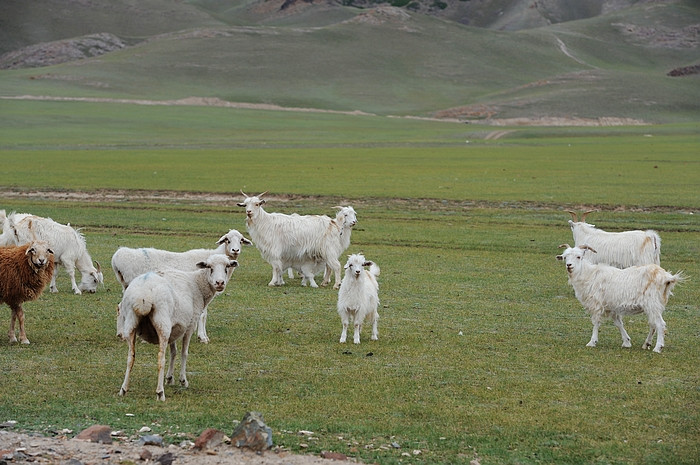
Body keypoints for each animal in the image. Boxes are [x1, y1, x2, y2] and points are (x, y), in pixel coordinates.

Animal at [109, 227, 252, 340]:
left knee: (120, 306)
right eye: (227, 240)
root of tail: (118, 257)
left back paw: (121, 333)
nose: (235, 250)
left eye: (241, 240)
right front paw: (202, 337)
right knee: (123, 307)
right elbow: (203, 314)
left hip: (127, 286)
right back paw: (124, 333)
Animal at [116, 252, 239, 400]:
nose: (220, 283)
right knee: (160, 358)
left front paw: (169, 378)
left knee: (130, 357)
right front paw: (183, 380)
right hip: (162, 323)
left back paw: (123, 389)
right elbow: (183, 353)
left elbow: (173, 352)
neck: (198, 284)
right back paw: (160, 393)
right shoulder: (190, 324)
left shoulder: (174, 328)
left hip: (131, 323)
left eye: (227, 267)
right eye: (210, 267)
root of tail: (143, 296)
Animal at [556, 243, 684, 352]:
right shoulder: (612, 307)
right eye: (565, 257)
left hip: (652, 303)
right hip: (654, 305)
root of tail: (666, 277)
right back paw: (646, 344)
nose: (569, 265)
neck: (589, 275)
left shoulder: (596, 304)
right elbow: (618, 323)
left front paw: (592, 342)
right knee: (653, 324)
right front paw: (626, 342)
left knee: (660, 324)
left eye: (579, 257)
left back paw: (658, 347)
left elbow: (596, 323)